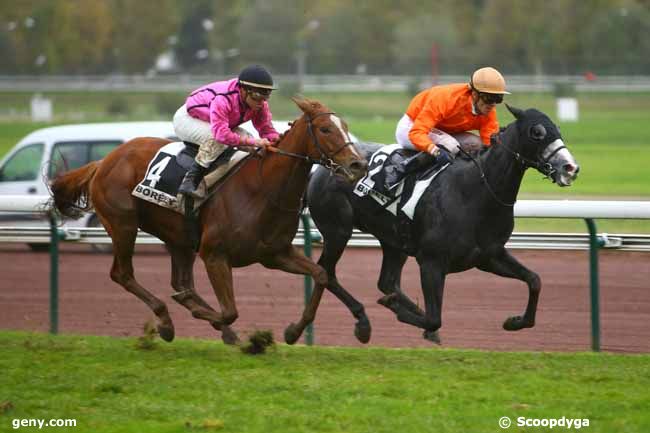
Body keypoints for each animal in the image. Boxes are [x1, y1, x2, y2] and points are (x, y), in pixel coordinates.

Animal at [48, 97, 368, 344]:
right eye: (326, 129)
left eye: (346, 127)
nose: (358, 164)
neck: (263, 188)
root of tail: (103, 161)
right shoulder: (215, 254)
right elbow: (229, 311)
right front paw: (207, 317)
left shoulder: (275, 253)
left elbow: (321, 274)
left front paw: (293, 331)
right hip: (123, 224)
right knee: (123, 274)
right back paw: (167, 321)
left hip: (178, 238)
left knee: (180, 281)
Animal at [304, 103, 576, 342]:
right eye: (537, 132)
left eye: (557, 128)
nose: (570, 168)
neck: (476, 192)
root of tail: (322, 165)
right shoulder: (432, 262)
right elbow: (435, 318)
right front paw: (404, 313)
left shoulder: (489, 256)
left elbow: (534, 280)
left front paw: (515, 321)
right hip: (337, 231)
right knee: (326, 272)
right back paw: (363, 323)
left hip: (393, 239)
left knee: (387, 281)